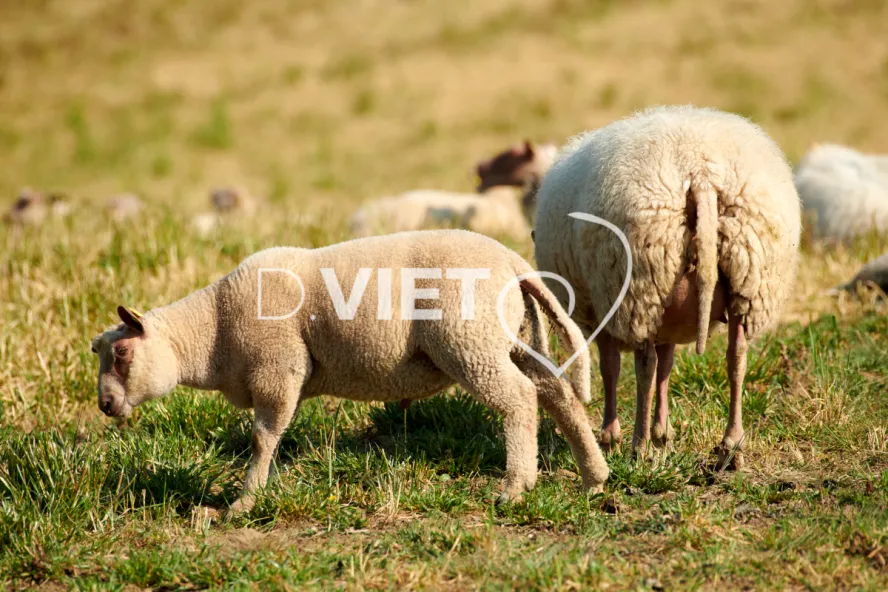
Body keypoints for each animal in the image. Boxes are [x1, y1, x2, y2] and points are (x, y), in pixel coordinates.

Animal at [90, 229, 609, 514]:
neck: (212, 330)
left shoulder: (277, 369)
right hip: (509, 337)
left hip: (469, 341)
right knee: (556, 390)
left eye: (122, 354)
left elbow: (262, 438)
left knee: (520, 399)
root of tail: (511, 260)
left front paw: (243, 501)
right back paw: (593, 475)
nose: (105, 405)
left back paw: (516, 486)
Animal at [532, 105, 801, 469]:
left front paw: (613, 435)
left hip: (637, 284)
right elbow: (667, 366)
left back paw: (638, 445)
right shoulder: (667, 323)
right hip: (747, 277)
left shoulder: (604, 312)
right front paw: (663, 433)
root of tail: (699, 171)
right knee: (736, 356)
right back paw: (731, 445)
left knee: (643, 366)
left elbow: (612, 368)